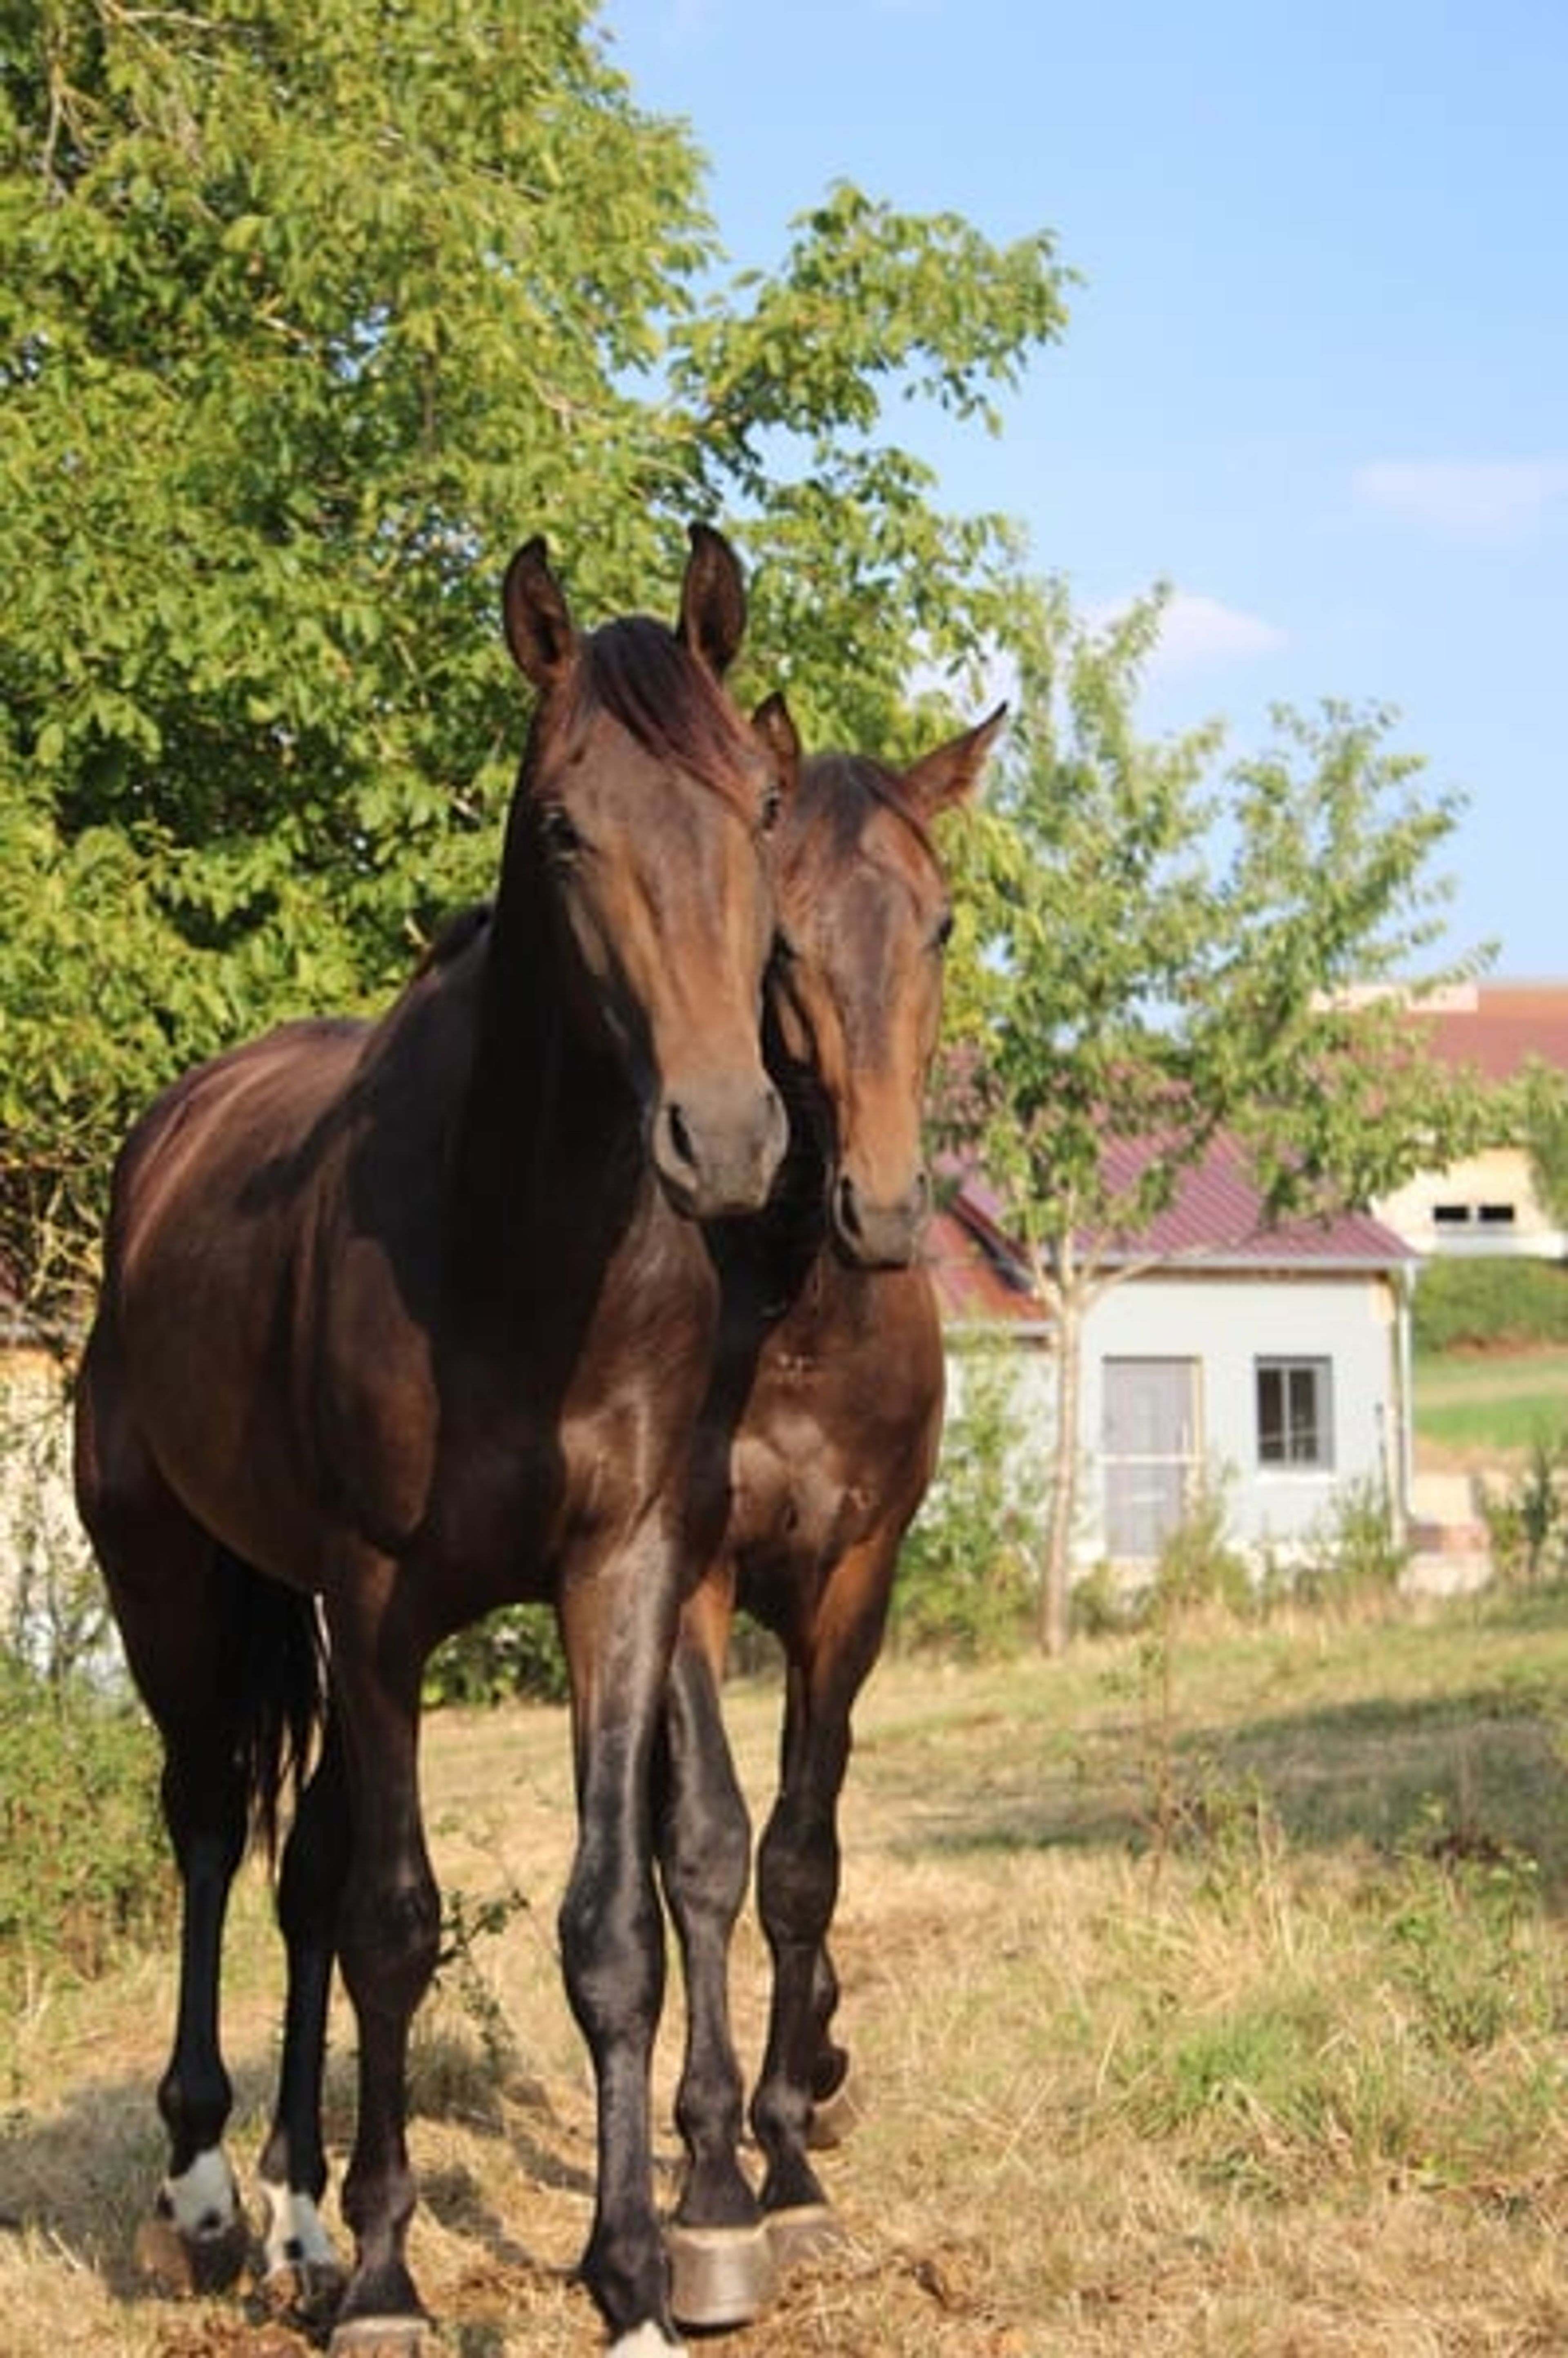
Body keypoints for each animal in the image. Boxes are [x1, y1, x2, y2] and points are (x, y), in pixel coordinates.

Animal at [72, 525, 795, 2358]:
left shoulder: (621, 1575)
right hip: (174, 1582)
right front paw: (397, 2283)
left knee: (306, 1865)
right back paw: (208, 2193)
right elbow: (397, 1924)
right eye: (563, 826)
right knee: (213, 1824)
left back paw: (299, 2214)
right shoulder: (382, 1599)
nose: (726, 1137)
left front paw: (632, 2284)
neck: (517, 1257)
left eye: (761, 805)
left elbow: (610, 1929)